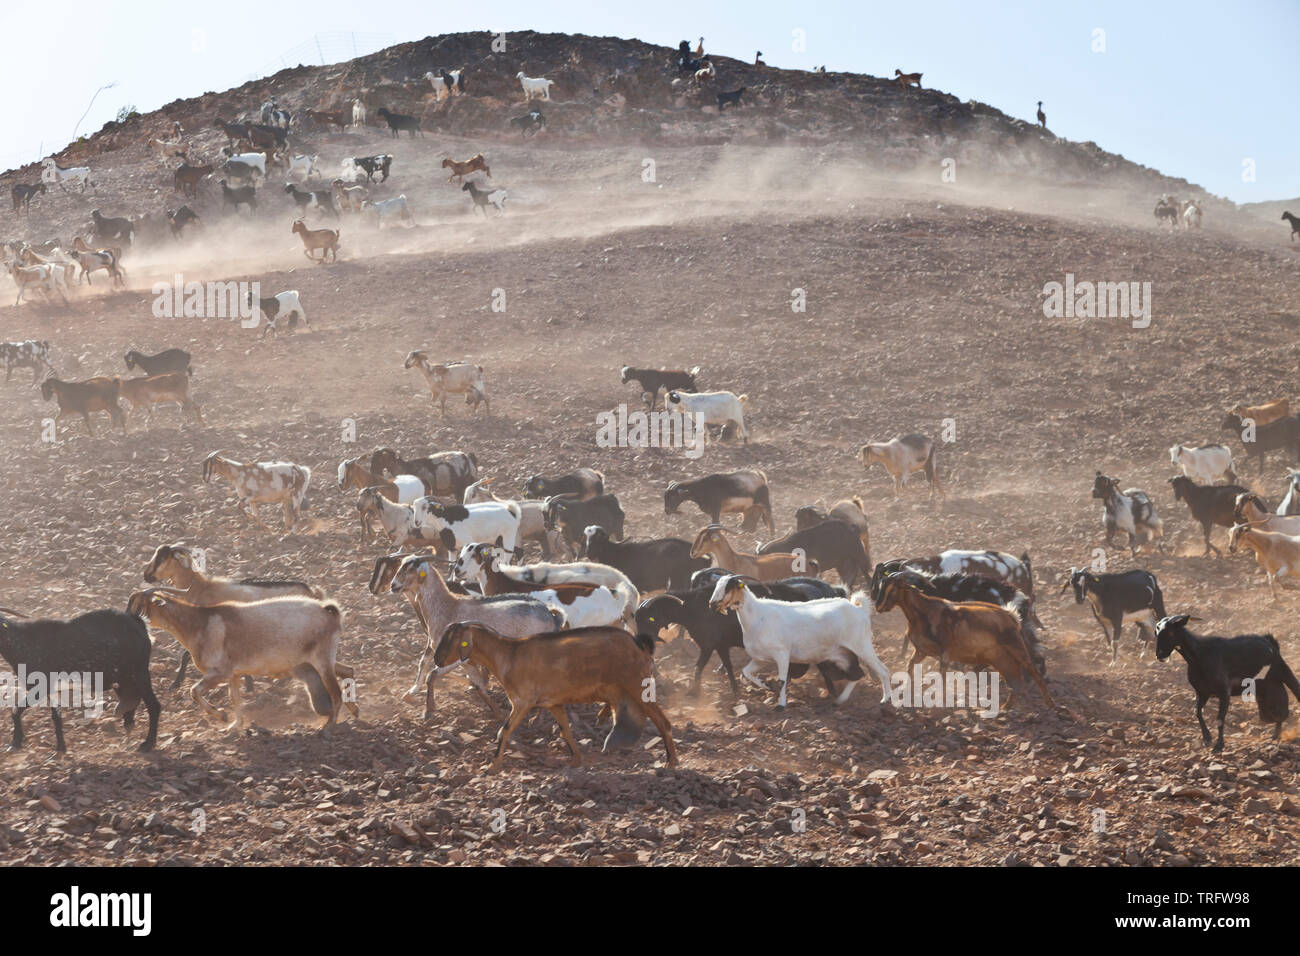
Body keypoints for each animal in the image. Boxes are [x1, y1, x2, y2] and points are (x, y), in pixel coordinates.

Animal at [0, 606, 159, 754]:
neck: (19, 642)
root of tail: (140, 623)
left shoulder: (41, 687)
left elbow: (16, 710)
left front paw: (15, 743)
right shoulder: (49, 688)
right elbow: (55, 716)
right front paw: (61, 747)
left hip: (139, 672)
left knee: (153, 705)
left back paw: (147, 744)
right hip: (123, 678)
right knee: (132, 699)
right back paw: (129, 724)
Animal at [1159, 613, 1300, 754]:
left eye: (1170, 633)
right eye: (1157, 633)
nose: (1160, 655)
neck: (1199, 655)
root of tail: (1270, 642)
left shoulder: (1224, 692)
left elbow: (1220, 719)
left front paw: (1218, 746)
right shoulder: (1202, 692)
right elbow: (1197, 712)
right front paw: (1207, 739)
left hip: (1282, 673)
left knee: (1290, 695)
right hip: (1266, 688)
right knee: (1278, 709)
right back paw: (1275, 735)